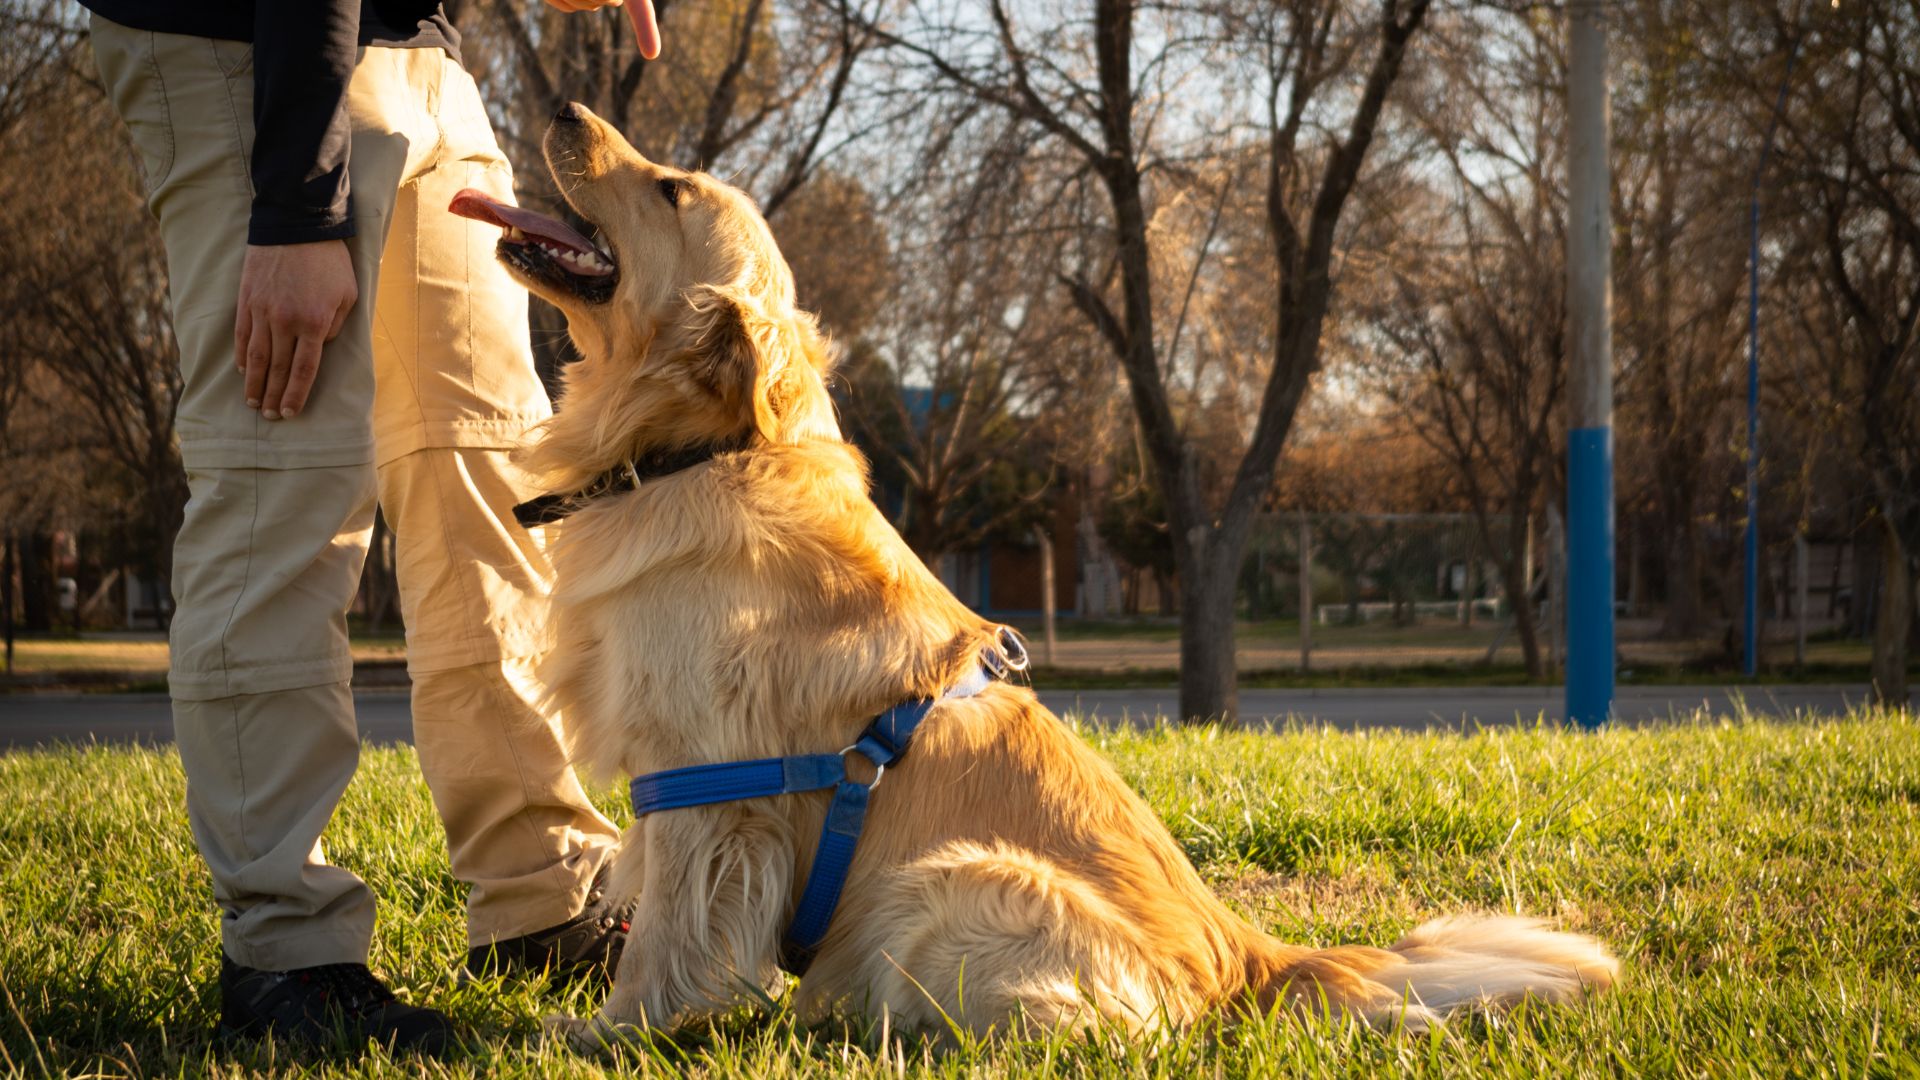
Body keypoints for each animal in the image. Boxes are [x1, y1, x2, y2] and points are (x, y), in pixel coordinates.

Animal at [453, 102, 1620, 1045]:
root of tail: (1247, 953)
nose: (563, 108)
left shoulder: (705, 783)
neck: (697, 450)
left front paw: (612, 1032)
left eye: (668, 188)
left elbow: (670, 932)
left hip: (945, 884)